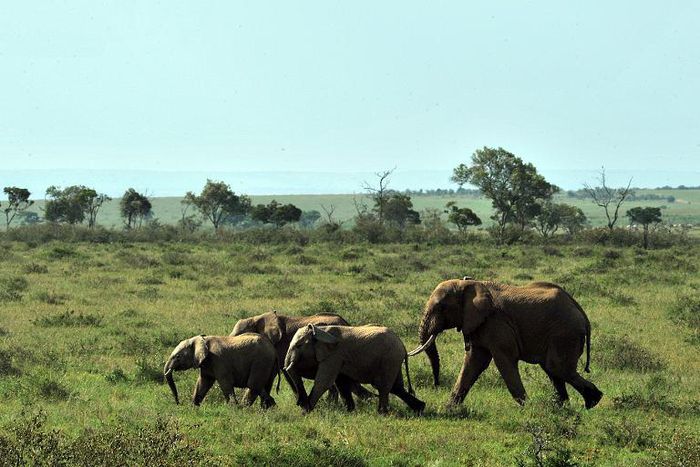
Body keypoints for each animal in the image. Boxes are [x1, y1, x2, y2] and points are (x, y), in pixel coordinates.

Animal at [284, 324, 425, 414]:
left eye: (299, 345)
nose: (300, 403)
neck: (319, 330)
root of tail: (403, 346)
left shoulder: (333, 356)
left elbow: (323, 382)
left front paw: (305, 413)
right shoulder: (338, 358)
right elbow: (341, 383)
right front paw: (350, 411)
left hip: (389, 359)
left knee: (383, 386)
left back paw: (382, 413)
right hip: (393, 360)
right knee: (397, 387)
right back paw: (420, 408)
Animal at [408, 279, 603, 409]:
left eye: (440, 307)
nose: (436, 385)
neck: (469, 284)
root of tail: (581, 312)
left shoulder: (497, 324)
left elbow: (504, 361)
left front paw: (527, 408)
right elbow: (473, 363)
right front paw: (449, 409)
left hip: (565, 333)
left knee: (557, 368)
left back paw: (592, 402)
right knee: (554, 370)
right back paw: (564, 407)